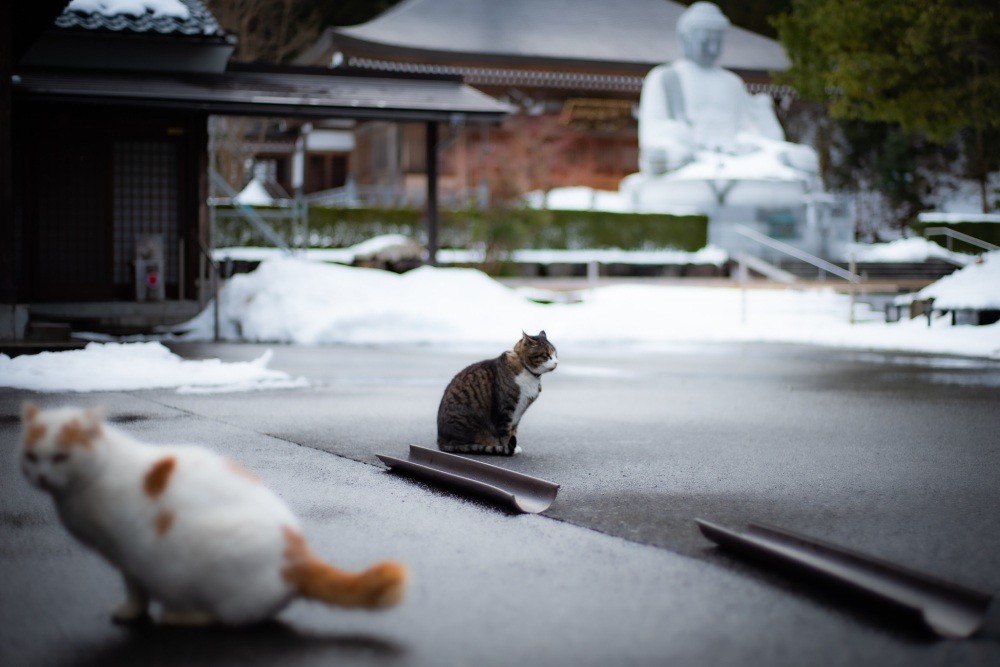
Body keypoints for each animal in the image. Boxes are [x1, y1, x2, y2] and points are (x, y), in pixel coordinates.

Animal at [17, 404, 406, 628]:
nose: (41, 477)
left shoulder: (128, 552)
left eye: (60, 456)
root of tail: (299, 560)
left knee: (228, 616)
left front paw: (129, 612)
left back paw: (182, 615)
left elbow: (135, 589)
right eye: (32, 456)